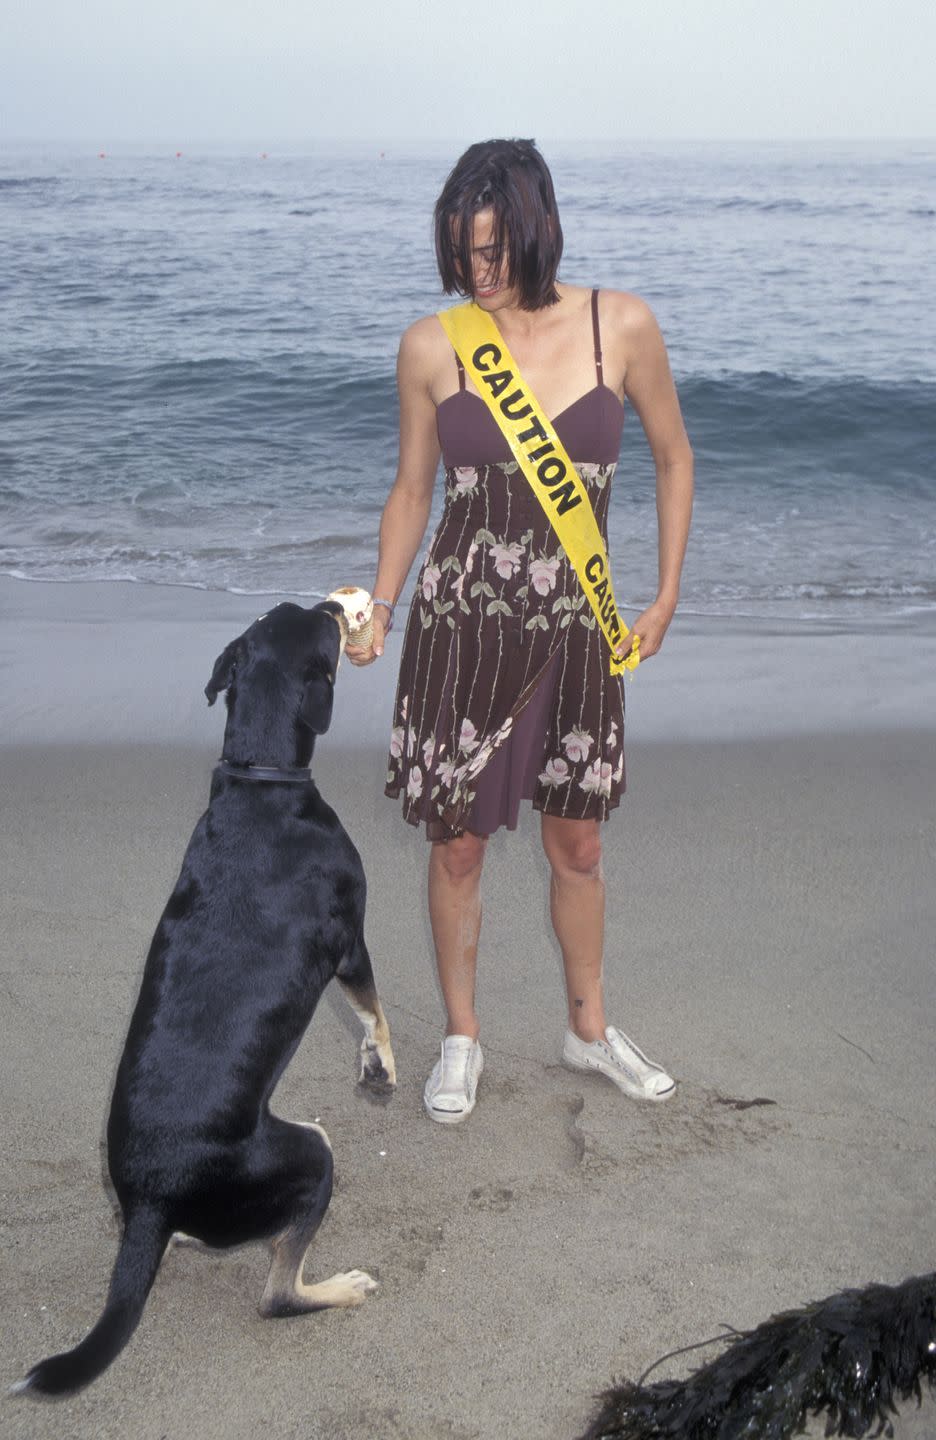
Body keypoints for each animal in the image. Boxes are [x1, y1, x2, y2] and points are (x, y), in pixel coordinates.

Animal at [16, 599, 394, 1393]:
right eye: (319, 629)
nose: (328, 604)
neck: (260, 776)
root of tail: (152, 1204)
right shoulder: (349, 941)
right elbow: (374, 1010)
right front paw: (382, 1063)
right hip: (311, 1155)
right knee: (278, 1294)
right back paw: (339, 1288)